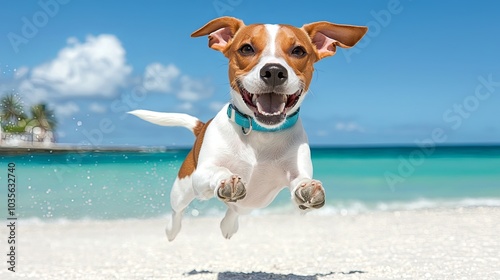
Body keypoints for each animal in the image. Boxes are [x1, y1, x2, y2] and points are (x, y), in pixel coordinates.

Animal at [129, 17, 368, 241]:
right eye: (247, 48)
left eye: (298, 51)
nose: (274, 71)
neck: (260, 133)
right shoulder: (202, 173)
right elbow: (219, 170)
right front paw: (227, 179)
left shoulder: (296, 174)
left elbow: (301, 182)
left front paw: (307, 187)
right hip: (183, 188)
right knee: (177, 212)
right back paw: (172, 230)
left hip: (252, 204)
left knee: (234, 211)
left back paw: (228, 226)